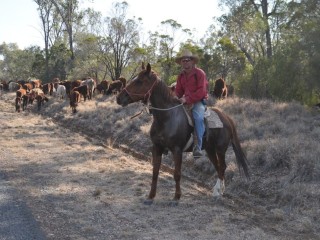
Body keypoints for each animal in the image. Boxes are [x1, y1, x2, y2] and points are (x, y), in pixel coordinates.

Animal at [116, 63, 249, 204]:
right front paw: (150, 196)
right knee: (218, 167)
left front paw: (176, 197)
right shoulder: (156, 148)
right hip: (210, 149)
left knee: (222, 166)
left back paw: (219, 192)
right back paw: (217, 191)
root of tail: (227, 118)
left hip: (220, 149)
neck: (167, 117)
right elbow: (155, 172)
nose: (119, 97)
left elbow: (177, 174)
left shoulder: (177, 150)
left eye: (140, 81)